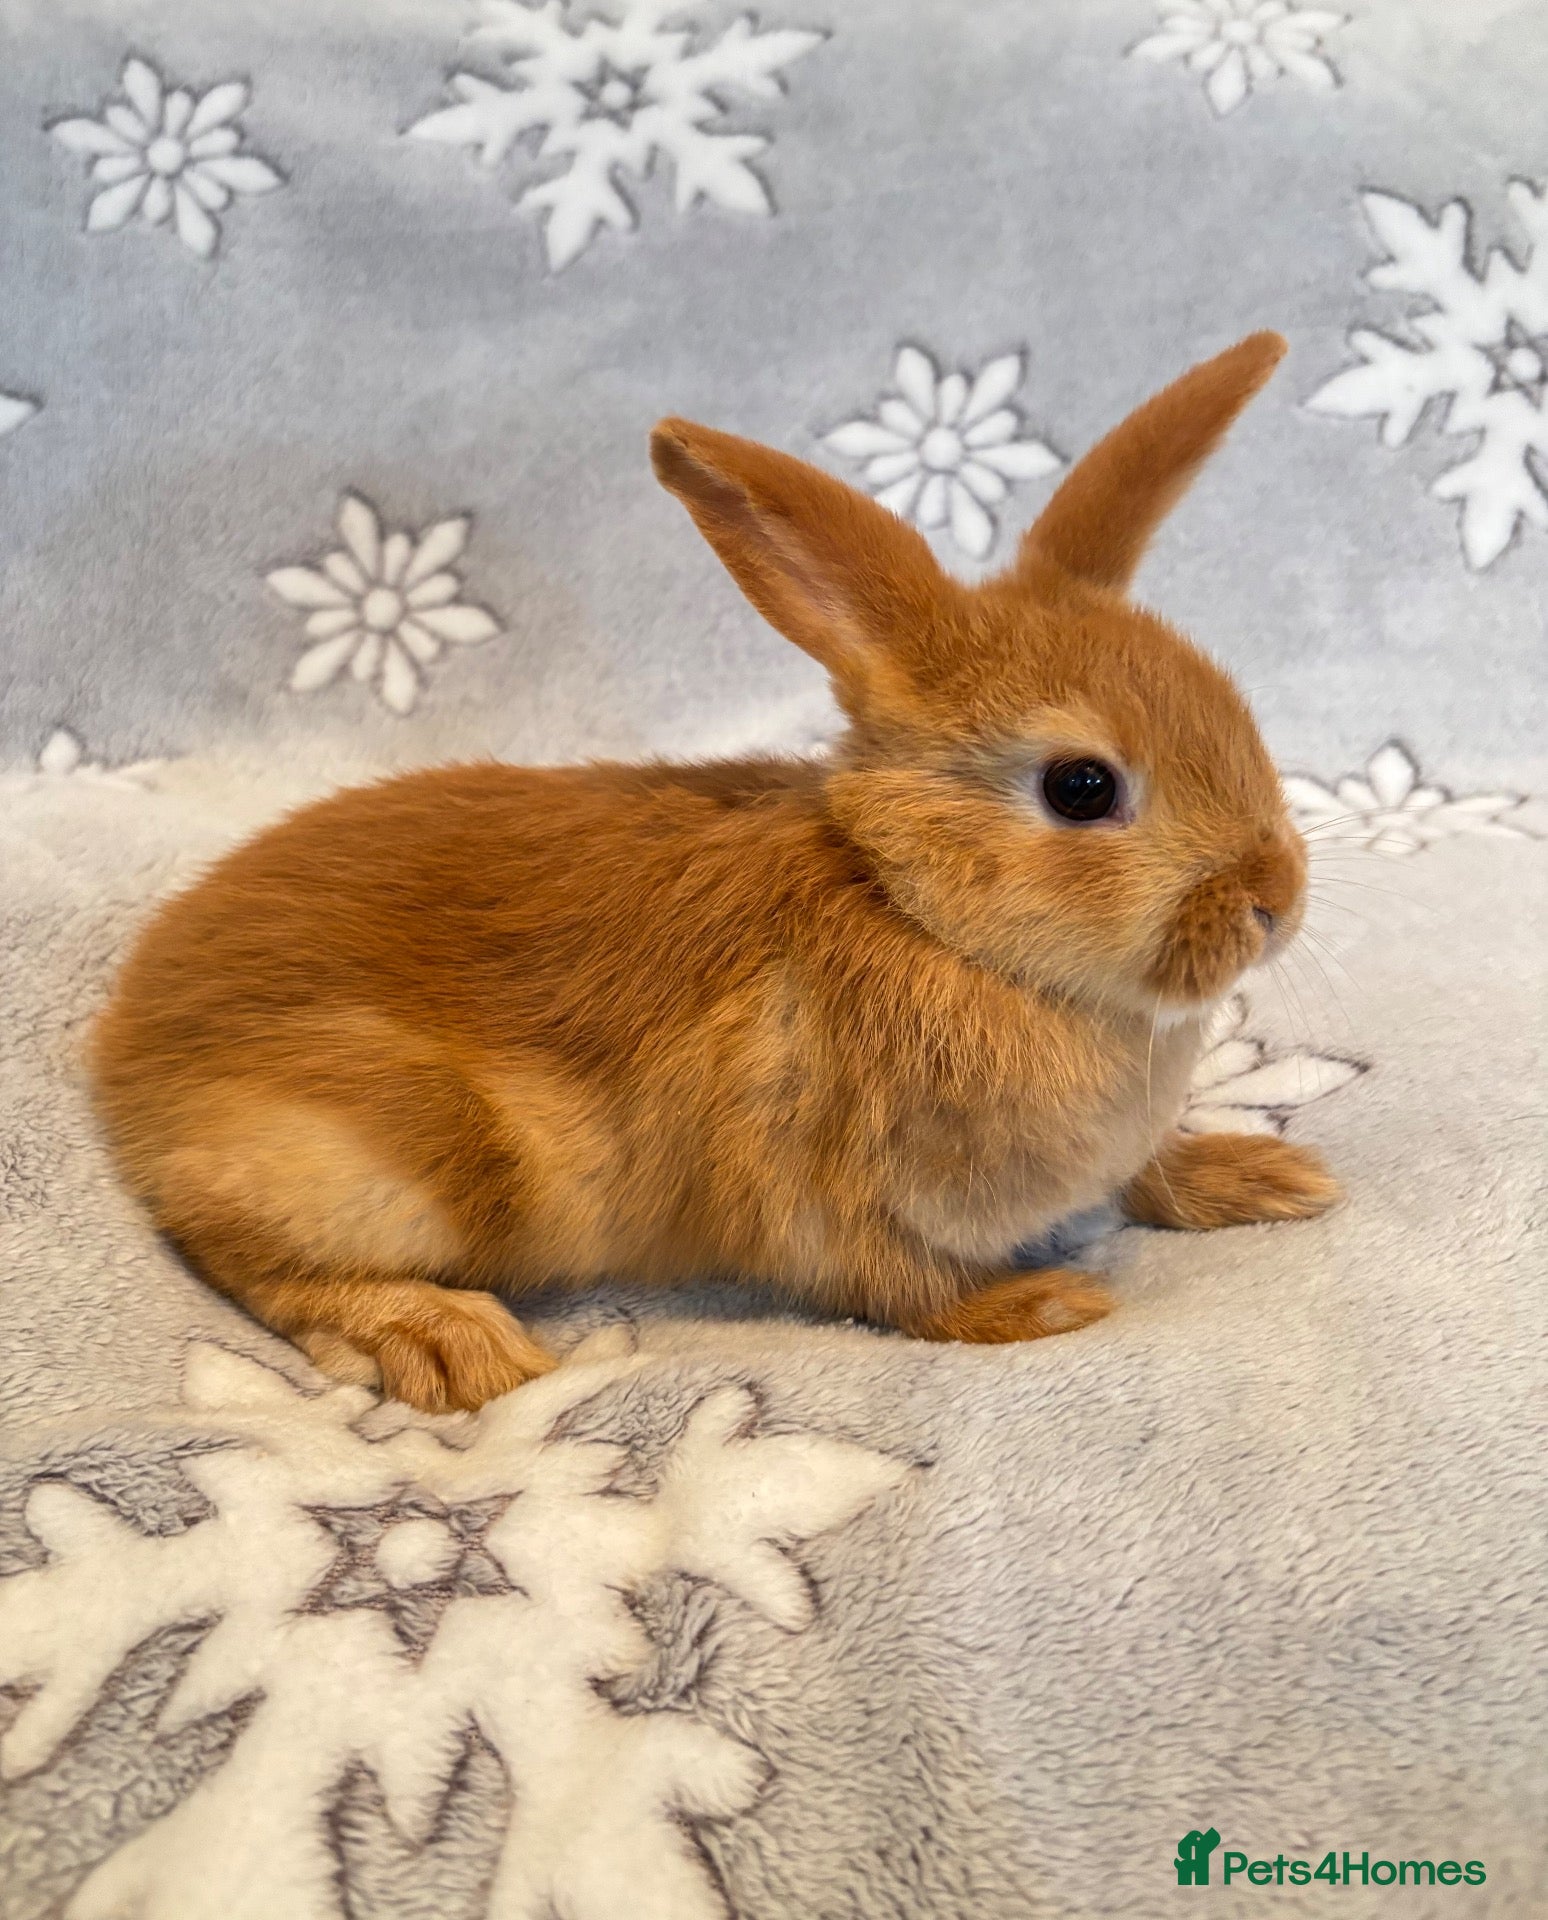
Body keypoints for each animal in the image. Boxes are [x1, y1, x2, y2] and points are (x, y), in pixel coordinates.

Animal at [90, 332, 1340, 1413]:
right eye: (1081, 787)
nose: (1274, 901)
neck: (921, 914)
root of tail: (125, 1056)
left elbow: (1139, 1175)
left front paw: (1261, 1177)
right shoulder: (820, 1185)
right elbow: (903, 1287)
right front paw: (1038, 1307)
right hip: (399, 1163)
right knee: (240, 1253)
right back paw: (447, 1342)